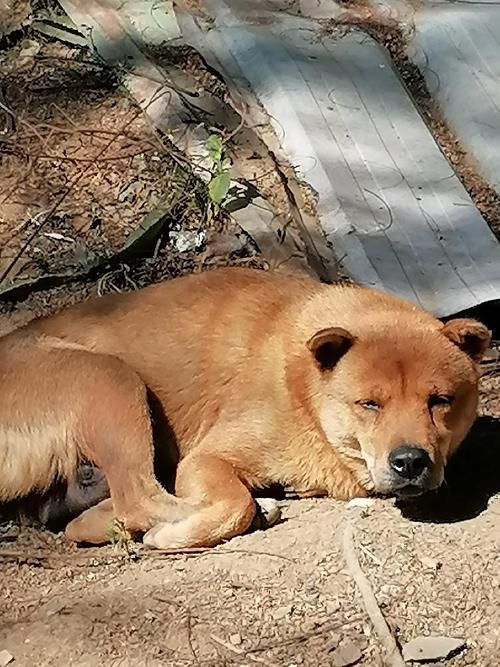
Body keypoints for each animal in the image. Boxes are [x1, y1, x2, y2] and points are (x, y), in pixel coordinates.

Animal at [0, 267, 490, 548]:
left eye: (440, 401)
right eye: (369, 404)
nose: (410, 462)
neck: (304, 390)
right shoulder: (207, 458)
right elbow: (233, 502)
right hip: (110, 378)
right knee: (140, 496)